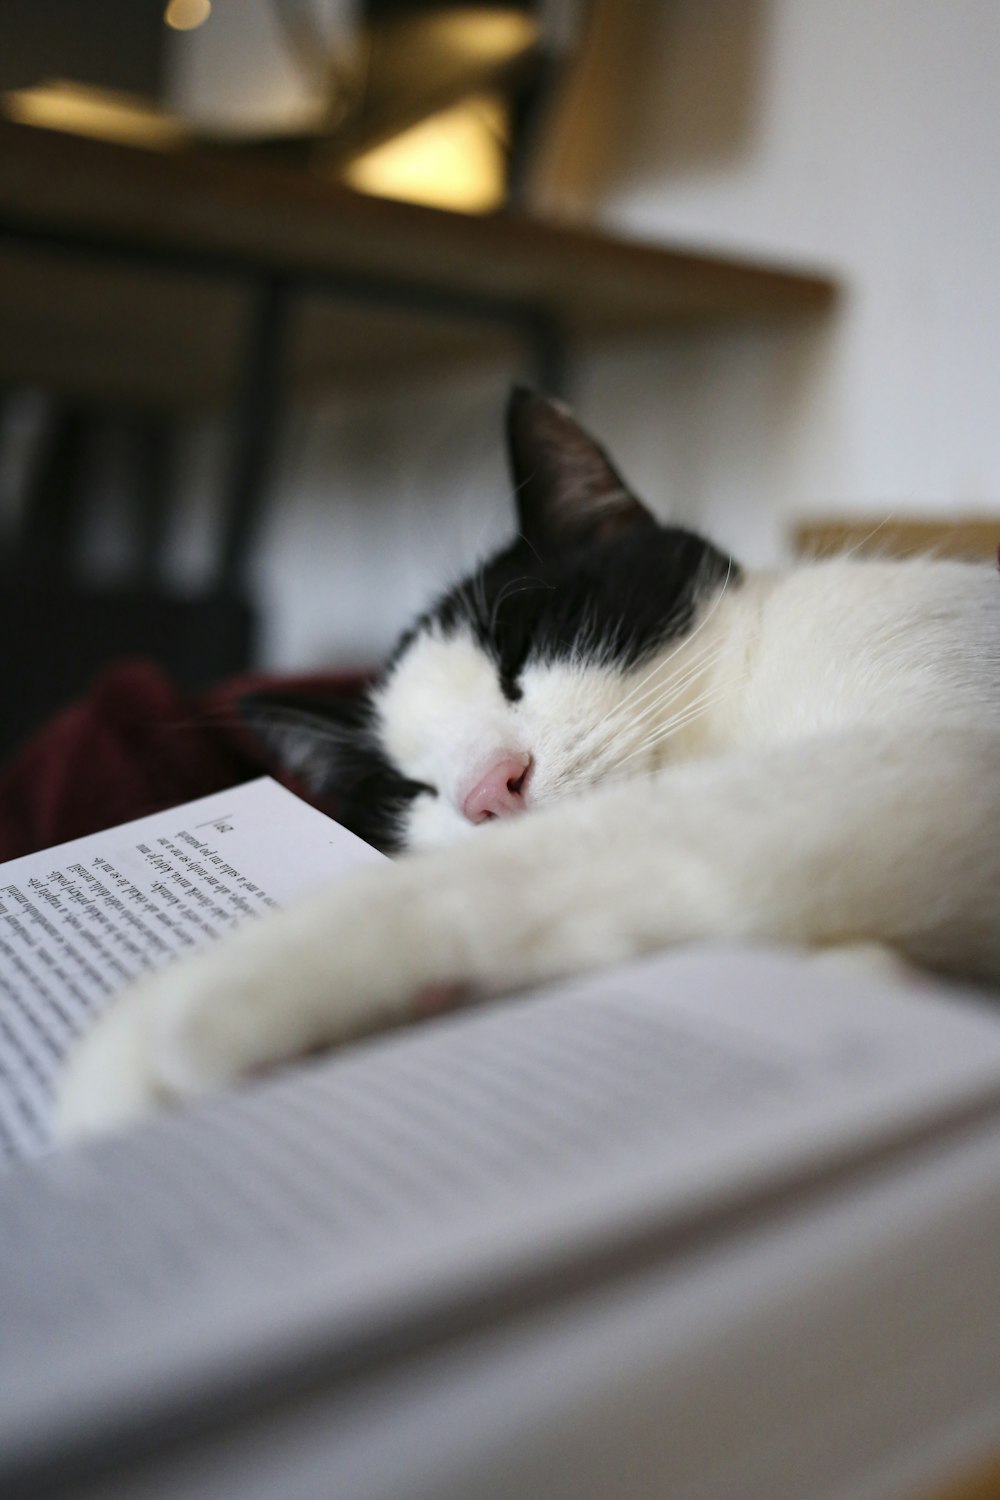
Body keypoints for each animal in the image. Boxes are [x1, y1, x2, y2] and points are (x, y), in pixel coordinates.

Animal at [56, 387, 1000, 1134]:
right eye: (412, 789)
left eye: (519, 652)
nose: (487, 791)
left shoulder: (921, 764)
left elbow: (565, 859)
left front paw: (180, 1014)